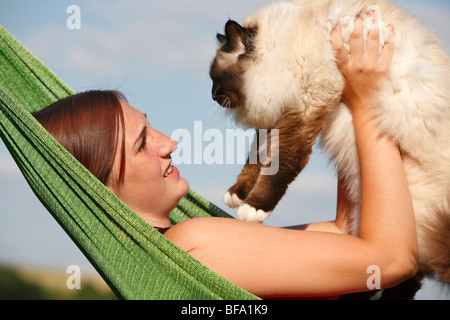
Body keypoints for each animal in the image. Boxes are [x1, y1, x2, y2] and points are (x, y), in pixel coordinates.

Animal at [210, 0, 450, 282]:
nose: (212, 96)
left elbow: (280, 165)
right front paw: (236, 194)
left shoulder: (304, 108)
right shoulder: (278, 113)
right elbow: (256, 158)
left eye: (216, 79)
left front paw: (254, 208)